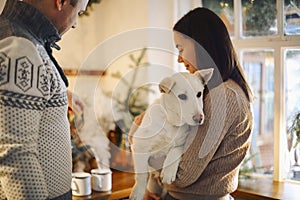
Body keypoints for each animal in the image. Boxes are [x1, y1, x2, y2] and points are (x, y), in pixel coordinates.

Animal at [129, 69, 213, 200]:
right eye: (182, 96)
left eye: (199, 94)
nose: (199, 118)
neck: (172, 122)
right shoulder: (139, 145)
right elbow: (142, 175)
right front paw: (137, 193)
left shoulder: (181, 144)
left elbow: (174, 152)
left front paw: (168, 173)